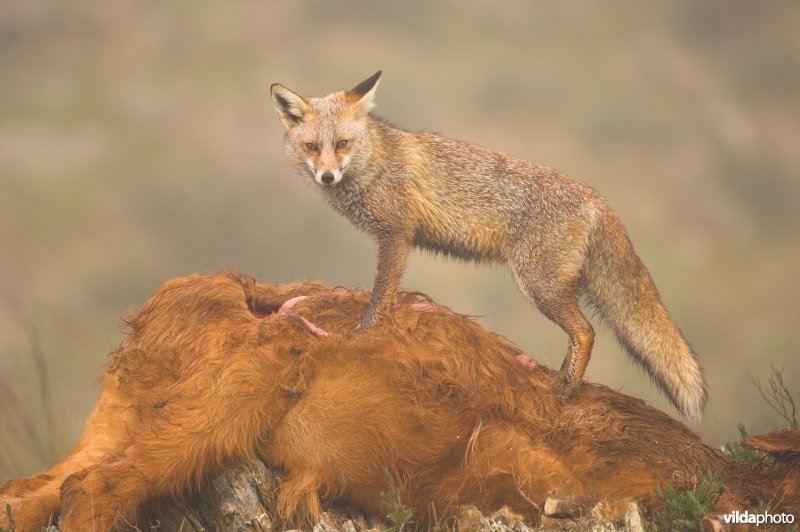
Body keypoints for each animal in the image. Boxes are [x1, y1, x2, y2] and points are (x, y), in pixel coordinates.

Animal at [270, 70, 708, 422]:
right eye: (313, 147)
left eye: (342, 143)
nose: (327, 176)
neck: (374, 164)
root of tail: (597, 200)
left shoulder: (396, 234)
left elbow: (381, 295)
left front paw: (364, 332)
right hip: (554, 286)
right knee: (578, 334)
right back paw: (560, 378)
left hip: (538, 284)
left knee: (585, 332)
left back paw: (566, 390)